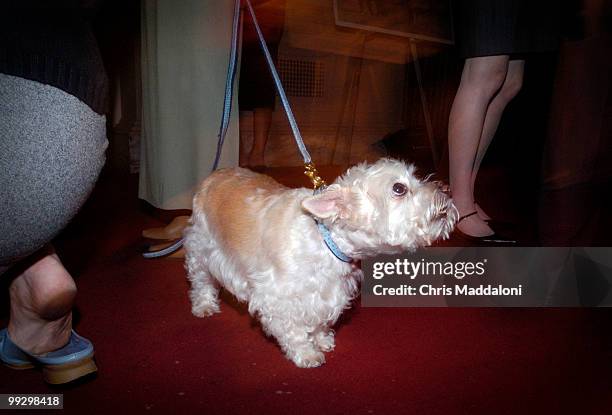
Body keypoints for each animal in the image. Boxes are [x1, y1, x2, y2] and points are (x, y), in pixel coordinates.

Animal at [184, 158, 456, 368]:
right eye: (399, 188)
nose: (447, 187)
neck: (325, 238)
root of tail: (215, 175)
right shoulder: (277, 298)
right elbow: (293, 330)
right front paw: (306, 354)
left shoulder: (328, 293)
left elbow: (319, 321)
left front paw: (322, 339)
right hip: (201, 250)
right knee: (201, 282)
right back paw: (204, 305)